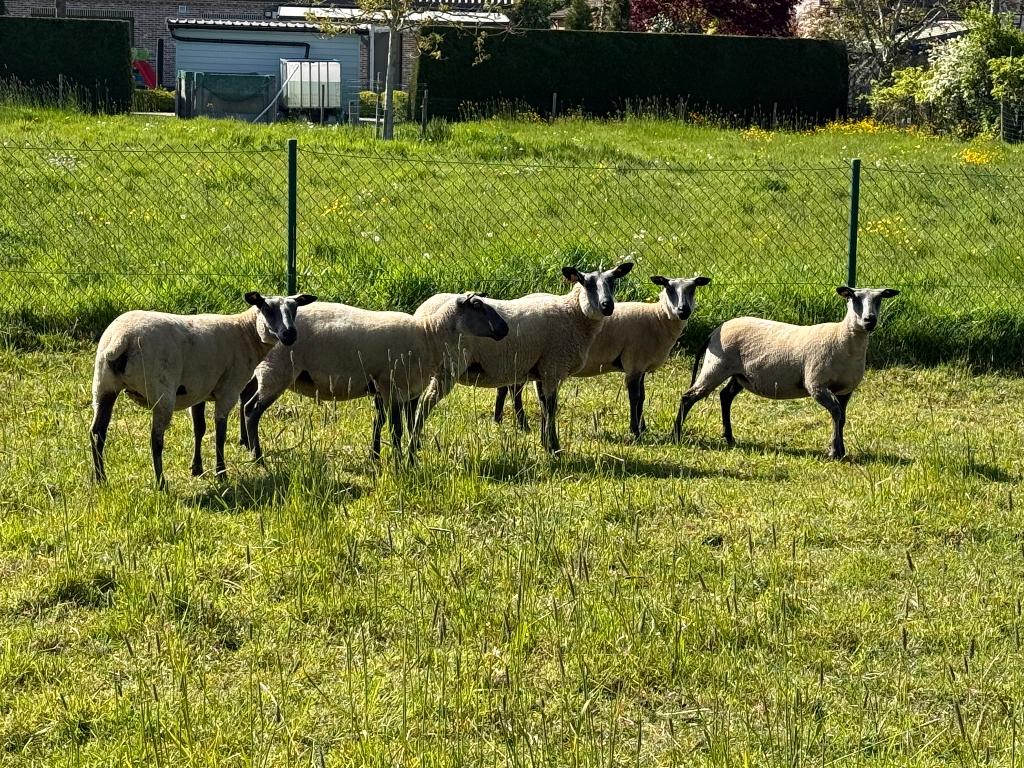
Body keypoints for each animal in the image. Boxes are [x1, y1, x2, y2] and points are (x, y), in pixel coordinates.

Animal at [90, 291, 317, 487]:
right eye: (266, 308)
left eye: (295, 308)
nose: (290, 334)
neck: (245, 332)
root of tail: (121, 341)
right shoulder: (228, 390)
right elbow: (220, 433)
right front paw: (221, 473)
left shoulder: (197, 390)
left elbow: (199, 429)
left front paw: (197, 468)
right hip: (161, 392)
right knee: (155, 439)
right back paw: (161, 483)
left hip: (103, 385)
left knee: (97, 433)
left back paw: (101, 479)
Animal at [237, 293, 509, 465]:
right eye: (478, 306)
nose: (505, 329)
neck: (429, 336)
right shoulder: (394, 387)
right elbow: (397, 429)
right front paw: (399, 461)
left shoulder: (397, 388)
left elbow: (390, 423)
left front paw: (382, 457)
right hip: (276, 371)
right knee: (252, 410)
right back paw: (257, 457)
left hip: (265, 370)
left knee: (245, 399)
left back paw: (246, 445)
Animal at [412, 262, 635, 455]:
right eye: (586, 283)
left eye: (613, 282)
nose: (607, 306)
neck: (572, 314)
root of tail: (421, 313)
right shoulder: (554, 366)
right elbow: (551, 407)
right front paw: (555, 448)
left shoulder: (542, 370)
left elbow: (544, 406)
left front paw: (546, 443)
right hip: (448, 366)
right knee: (426, 402)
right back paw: (416, 442)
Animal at [493, 274, 711, 439]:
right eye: (669, 288)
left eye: (692, 289)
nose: (683, 310)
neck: (657, 318)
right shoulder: (634, 361)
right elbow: (635, 397)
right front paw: (635, 431)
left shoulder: (640, 365)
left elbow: (642, 397)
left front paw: (643, 427)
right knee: (514, 390)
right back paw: (522, 425)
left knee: (506, 387)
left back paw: (500, 420)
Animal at [672, 286, 899, 459]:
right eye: (854, 298)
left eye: (879, 299)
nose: (870, 320)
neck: (843, 339)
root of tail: (714, 331)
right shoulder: (816, 385)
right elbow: (836, 413)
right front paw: (835, 452)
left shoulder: (845, 390)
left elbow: (841, 417)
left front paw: (839, 449)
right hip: (716, 366)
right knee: (688, 397)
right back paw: (676, 435)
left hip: (740, 375)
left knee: (725, 396)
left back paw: (729, 437)